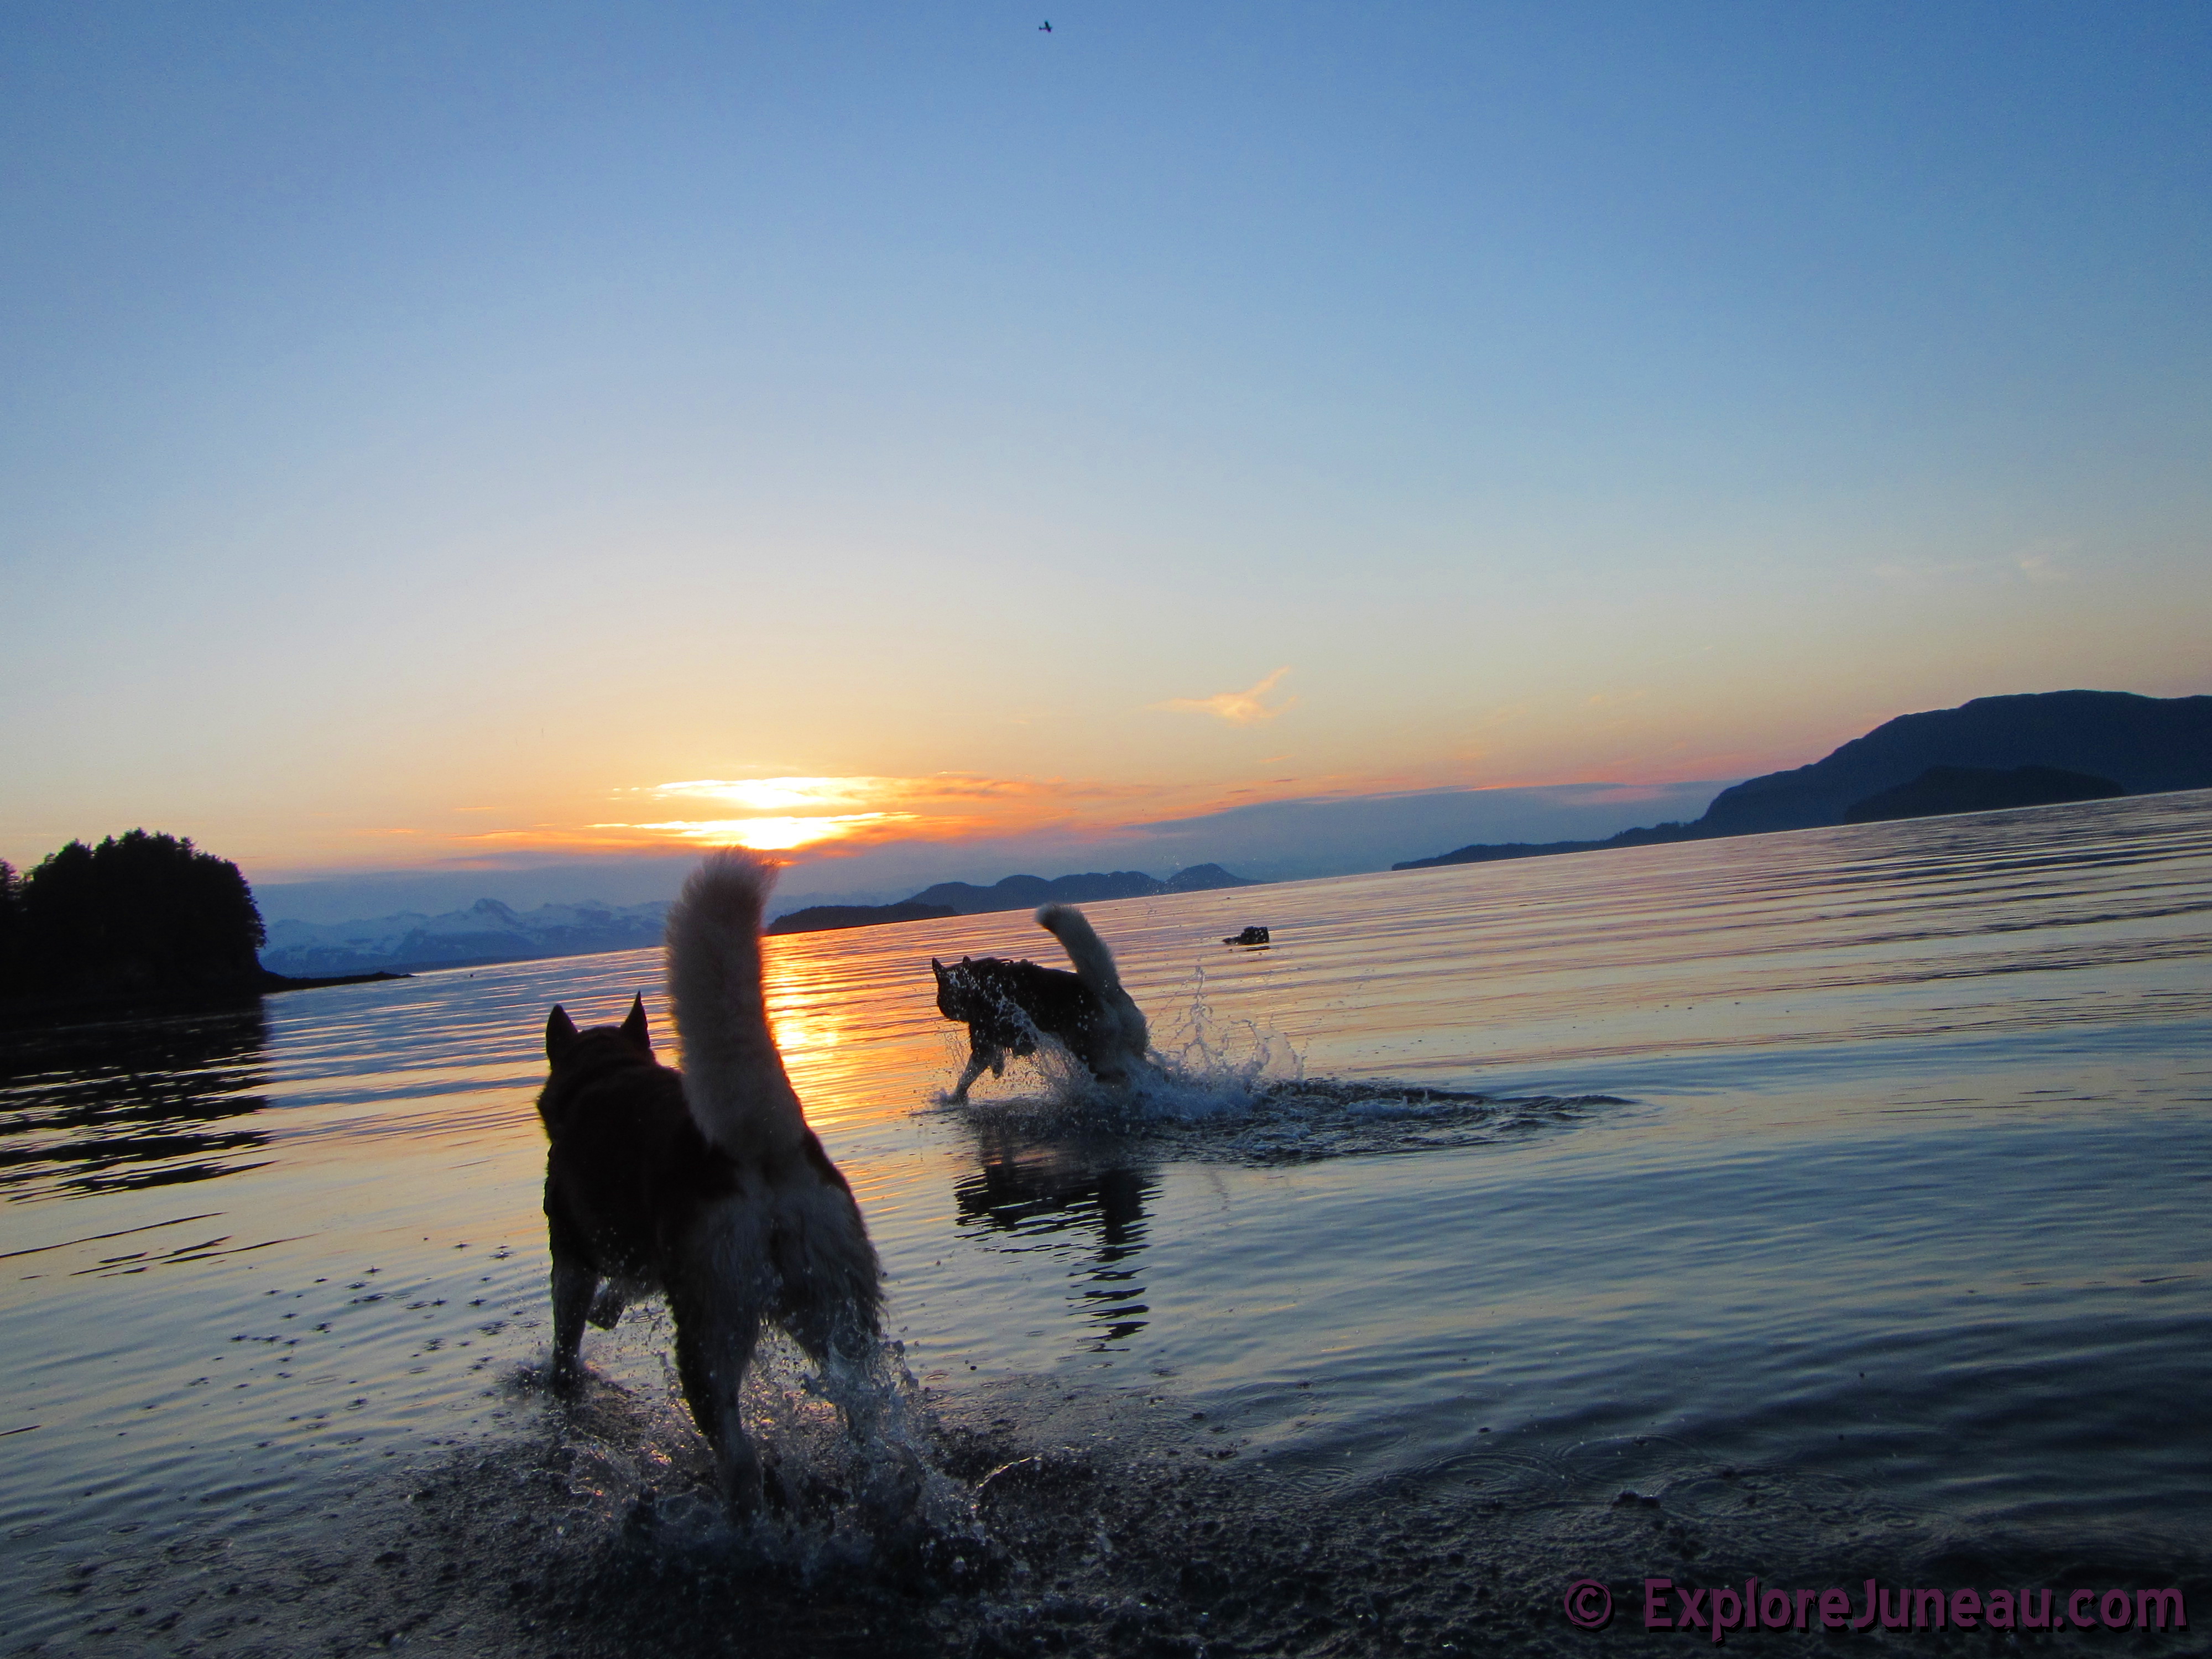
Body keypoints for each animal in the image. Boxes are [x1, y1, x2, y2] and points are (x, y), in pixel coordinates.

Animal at [535, 849, 880, 1513]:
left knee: (739, 1455)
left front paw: (562, 1381)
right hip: (836, 1305)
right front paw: (611, 1310)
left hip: (710, 1330)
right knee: (872, 1414)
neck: (602, 1072)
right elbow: (628, 1282)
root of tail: (756, 1141)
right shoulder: (644, 1249)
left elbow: (567, 1333)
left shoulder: (572, 1253)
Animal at [929, 902, 1150, 1110]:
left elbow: (968, 1075)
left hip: (1093, 1056)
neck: (977, 985)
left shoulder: (984, 1041)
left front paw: (954, 1097)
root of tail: (1107, 991)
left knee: (1123, 1076)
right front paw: (995, 1070)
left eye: (941, 997)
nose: (942, 1008)